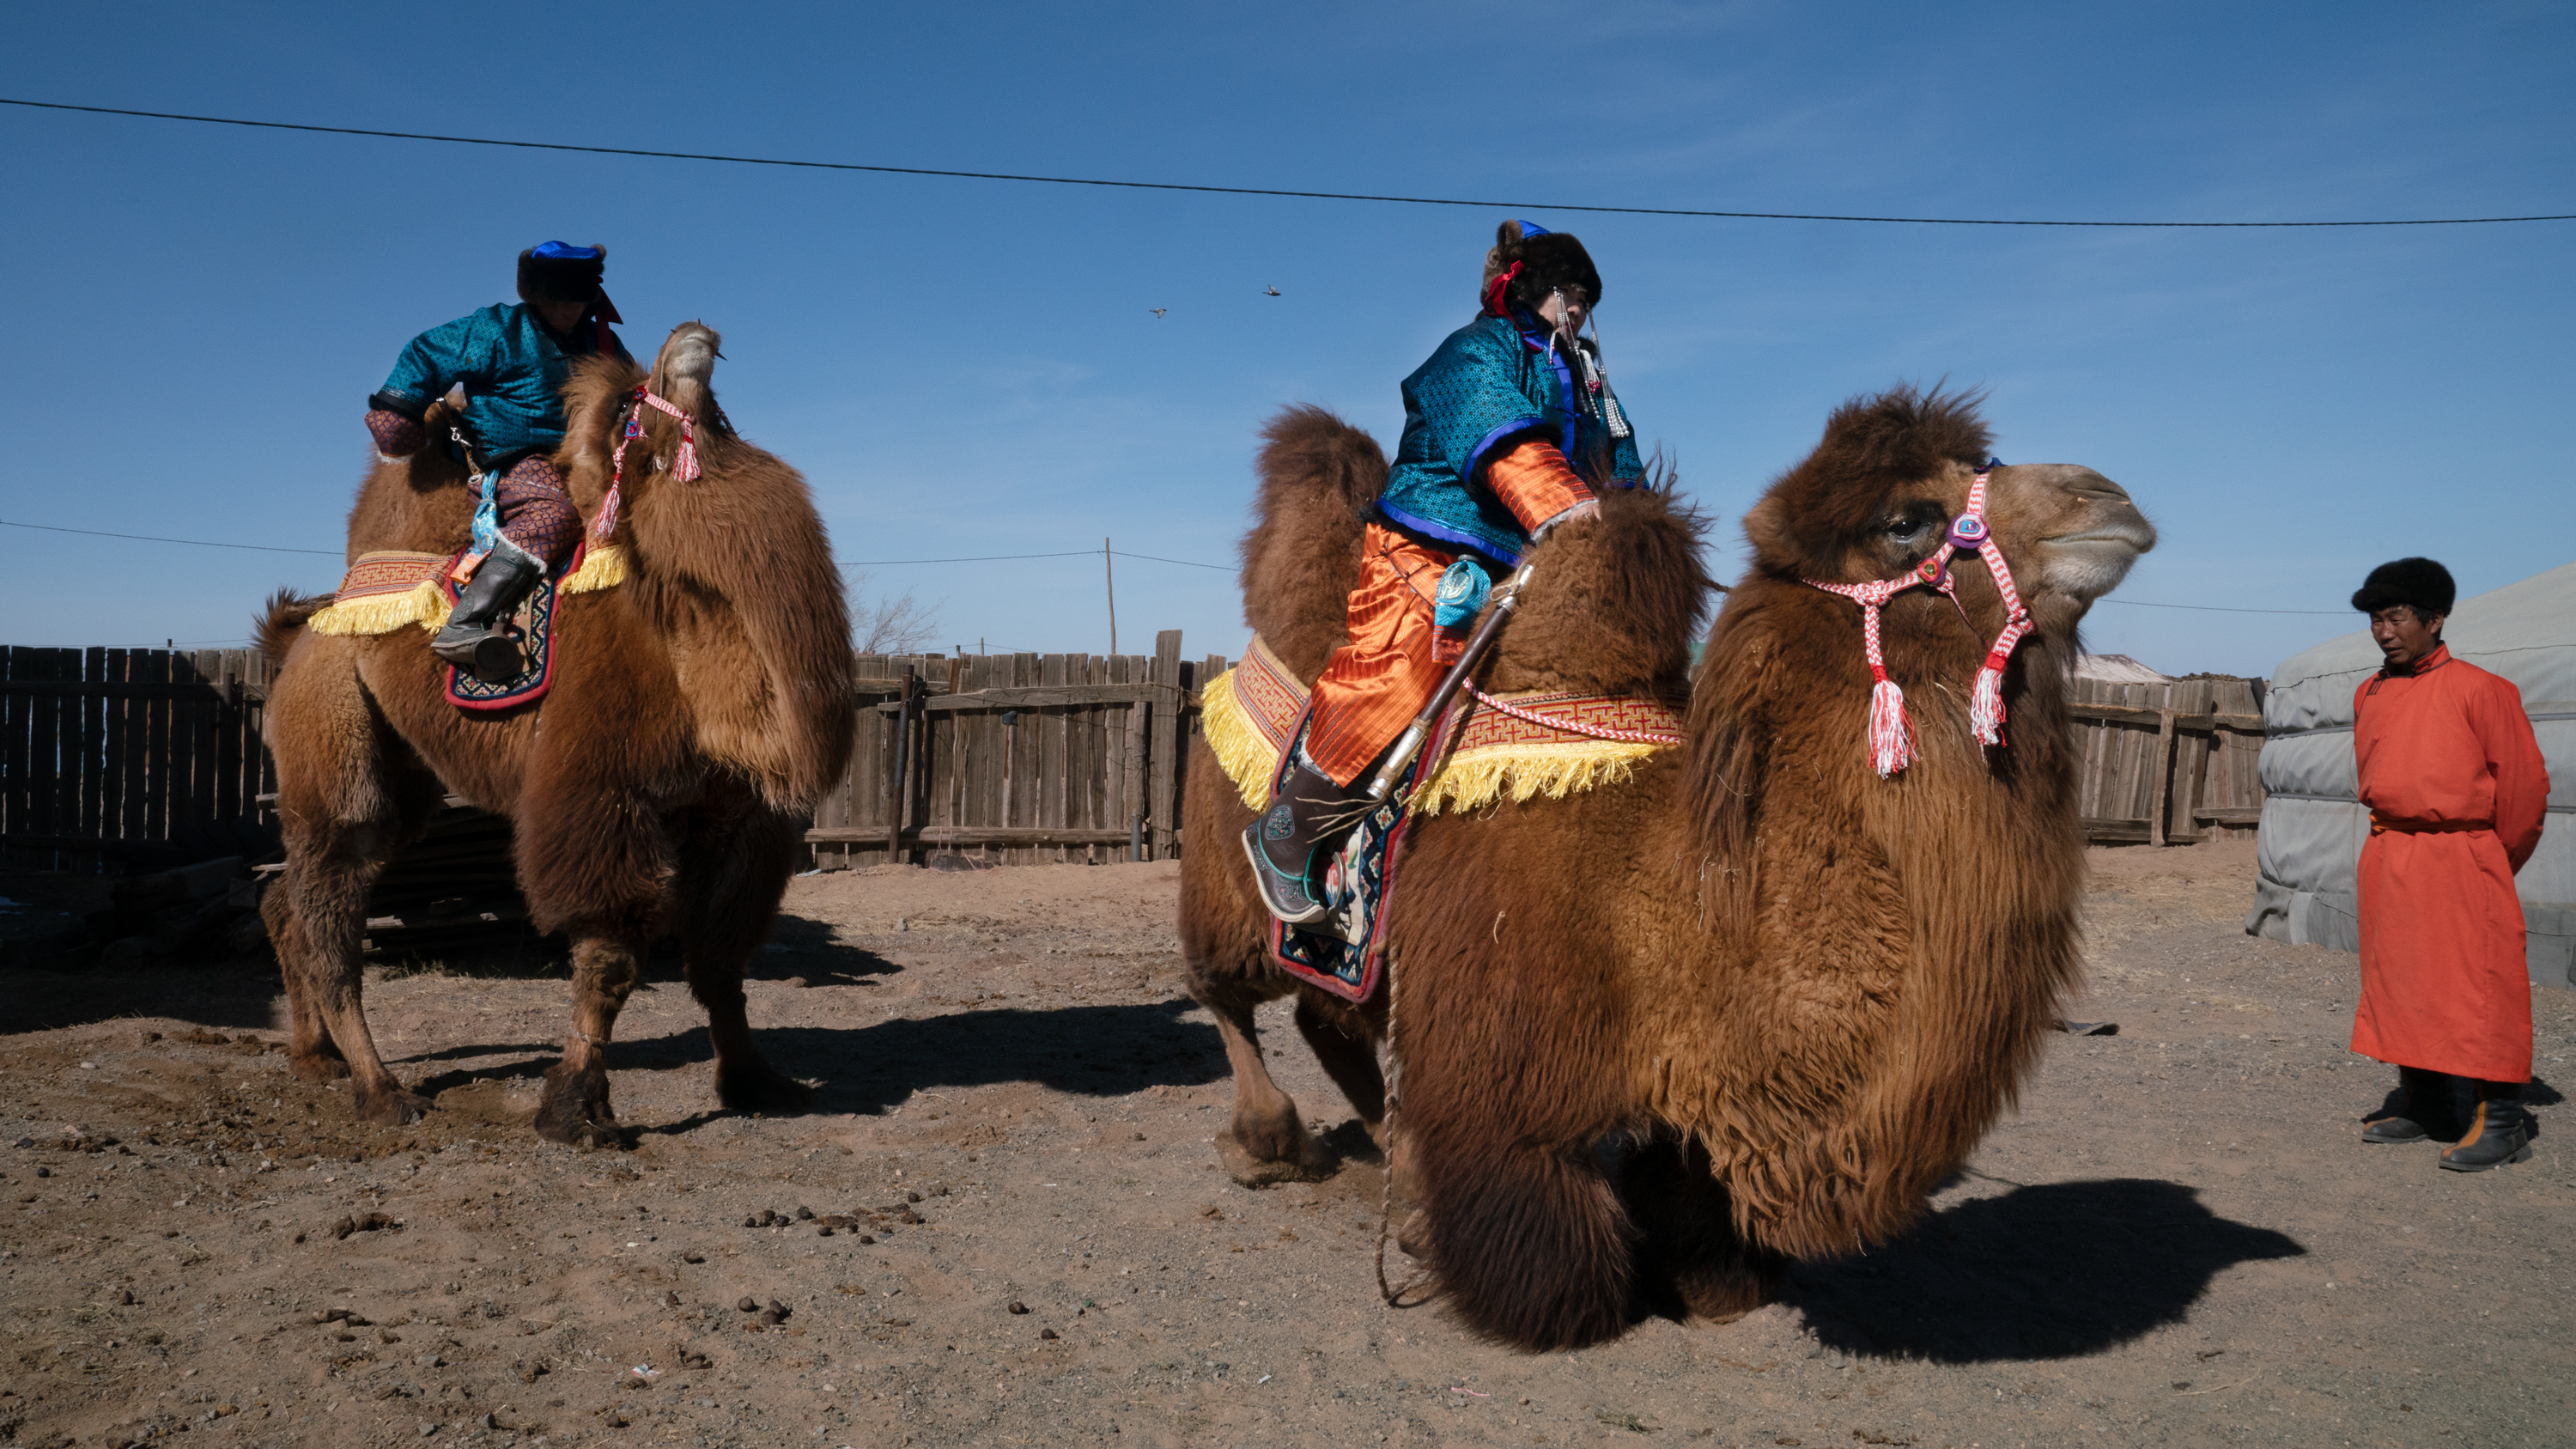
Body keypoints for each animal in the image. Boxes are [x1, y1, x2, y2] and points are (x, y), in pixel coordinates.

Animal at [253, 322, 855, 1143]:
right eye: (639, 419)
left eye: (721, 416)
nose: (697, 338)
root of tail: (298, 637)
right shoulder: (601, 790)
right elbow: (609, 958)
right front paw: (577, 1108)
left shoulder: (740, 817)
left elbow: (721, 959)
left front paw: (755, 1079)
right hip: (332, 737)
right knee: (333, 917)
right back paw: (381, 1091)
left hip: (401, 776)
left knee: (291, 899)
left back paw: (315, 1058)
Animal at [1179, 389, 2156, 1349]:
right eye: (1905, 519)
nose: (2108, 498)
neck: (1671, 904)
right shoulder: (1506, 1082)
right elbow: (1559, 1273)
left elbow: (1699, 1220)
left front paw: (1707, 1280)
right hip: (1220, 889)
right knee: (1226, 991)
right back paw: (1272, 1142)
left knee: (1324, 1014)